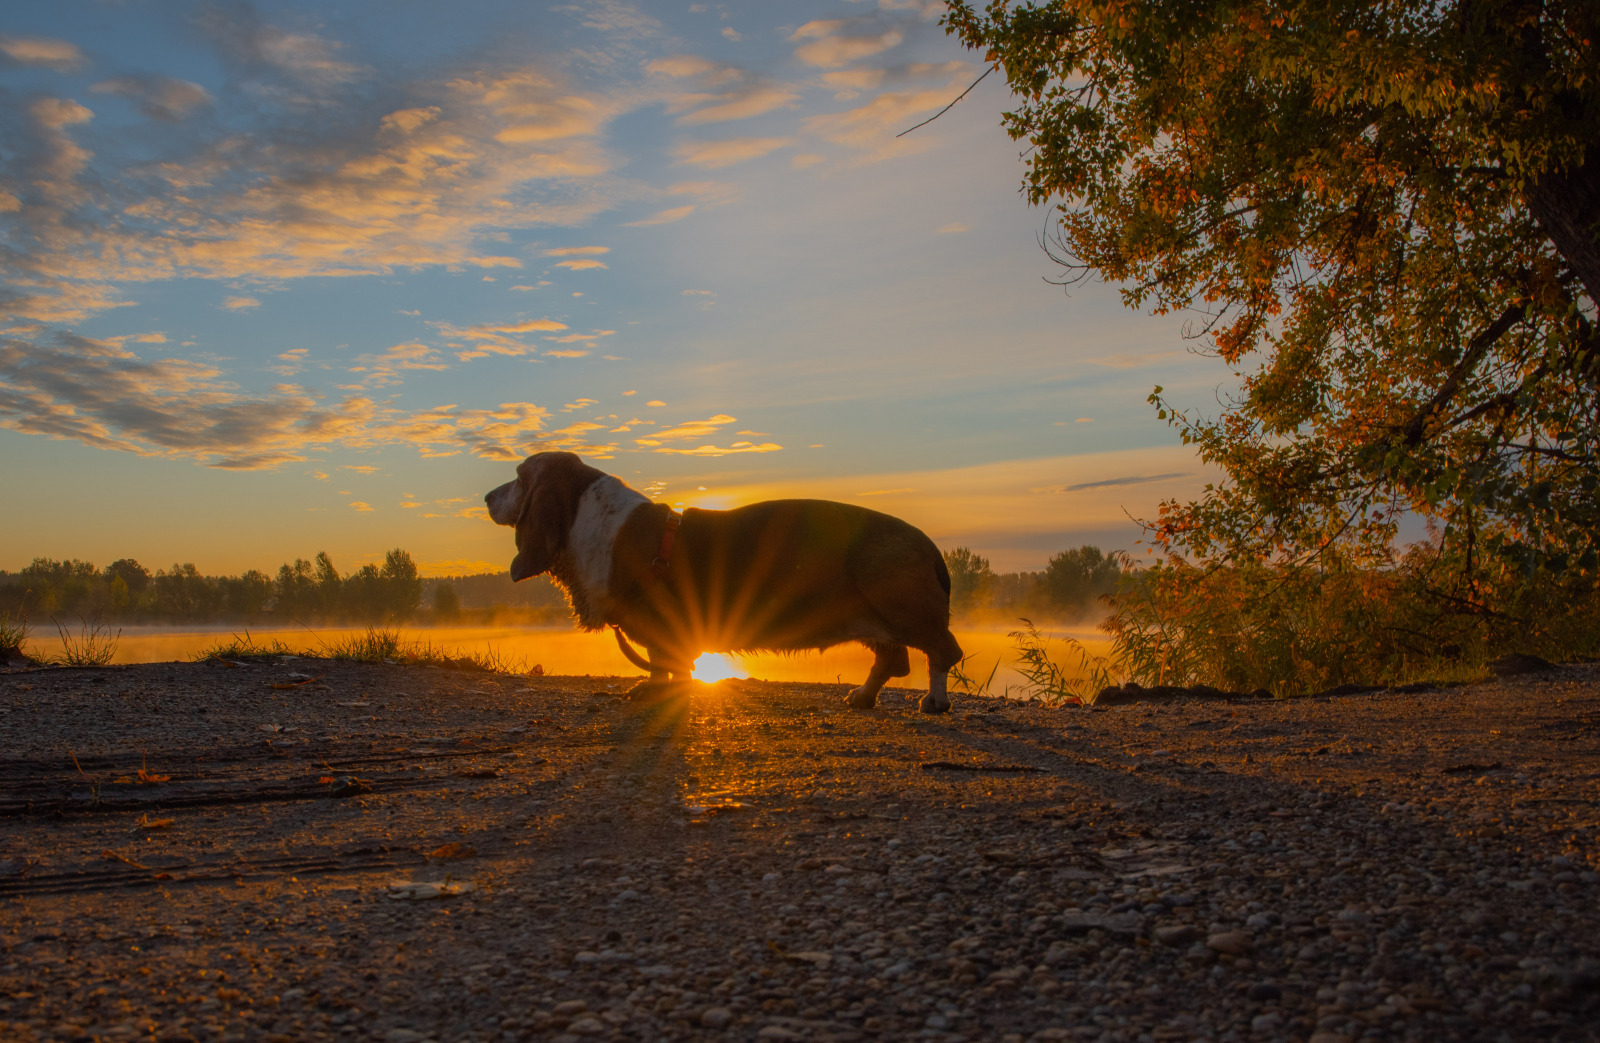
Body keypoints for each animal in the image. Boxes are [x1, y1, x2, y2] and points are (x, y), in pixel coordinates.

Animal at [483, 451, 960, 713]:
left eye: (520, 478)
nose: (486, 497)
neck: (587, 514)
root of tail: (927, 543)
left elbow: (663, 663)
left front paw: (658, 693)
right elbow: (665, 664)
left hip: (900, 605)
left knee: (942, 652)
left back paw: (935, 702)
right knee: (893, 660)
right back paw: (862, 696)